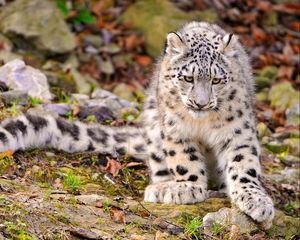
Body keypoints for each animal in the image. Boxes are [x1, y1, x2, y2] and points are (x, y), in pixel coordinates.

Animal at [0, 21, 274, 226]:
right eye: (188, 78)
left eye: (216, 80)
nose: (201, 103)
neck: (201, 124)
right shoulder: (175, 129)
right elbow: (184, 160)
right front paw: (187, 187)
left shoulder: (238, 131)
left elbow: (243, 164)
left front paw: (255, 200)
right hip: (154, 125)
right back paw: (162, 186)